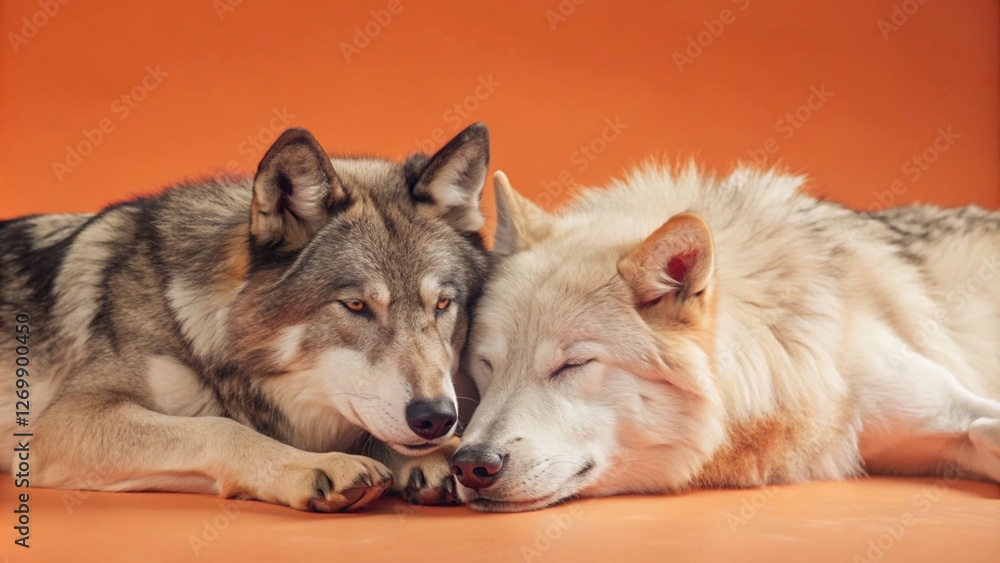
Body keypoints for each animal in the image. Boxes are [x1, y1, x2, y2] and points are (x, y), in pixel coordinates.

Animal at [0, 123, 491, 511]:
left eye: (443, 305)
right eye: (356, 306)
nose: (436, 418)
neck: (197, 326)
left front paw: (440, 454)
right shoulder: (67, 421)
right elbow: (219, 428)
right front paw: (316, 465)